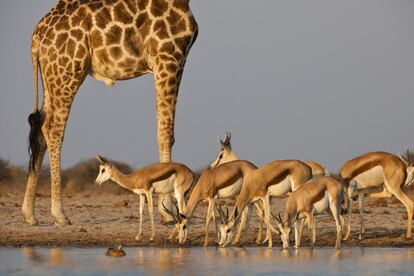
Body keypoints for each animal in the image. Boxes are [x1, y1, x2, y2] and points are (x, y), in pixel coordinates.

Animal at [21, 0, 198, 225]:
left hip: (51, 74)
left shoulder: (177, 61)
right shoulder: (168, 56)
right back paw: (59, 213)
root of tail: (37, 36)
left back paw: (29, 213)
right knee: (53, 129)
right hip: (68, 71)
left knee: (40, 128)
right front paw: (167, 210)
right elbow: (165, 132)